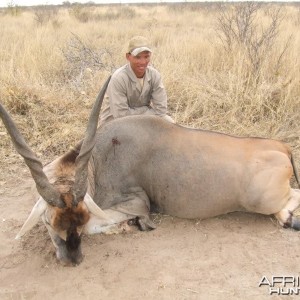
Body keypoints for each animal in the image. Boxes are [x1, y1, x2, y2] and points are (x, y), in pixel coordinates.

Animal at [0, 77, 300, 264]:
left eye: (80, 220)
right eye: (49, 222)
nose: (72, 260)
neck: (99, 159)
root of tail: (281, 146)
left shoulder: (137, 203)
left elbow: (104, 223)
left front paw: (131, 226)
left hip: (261, 200)